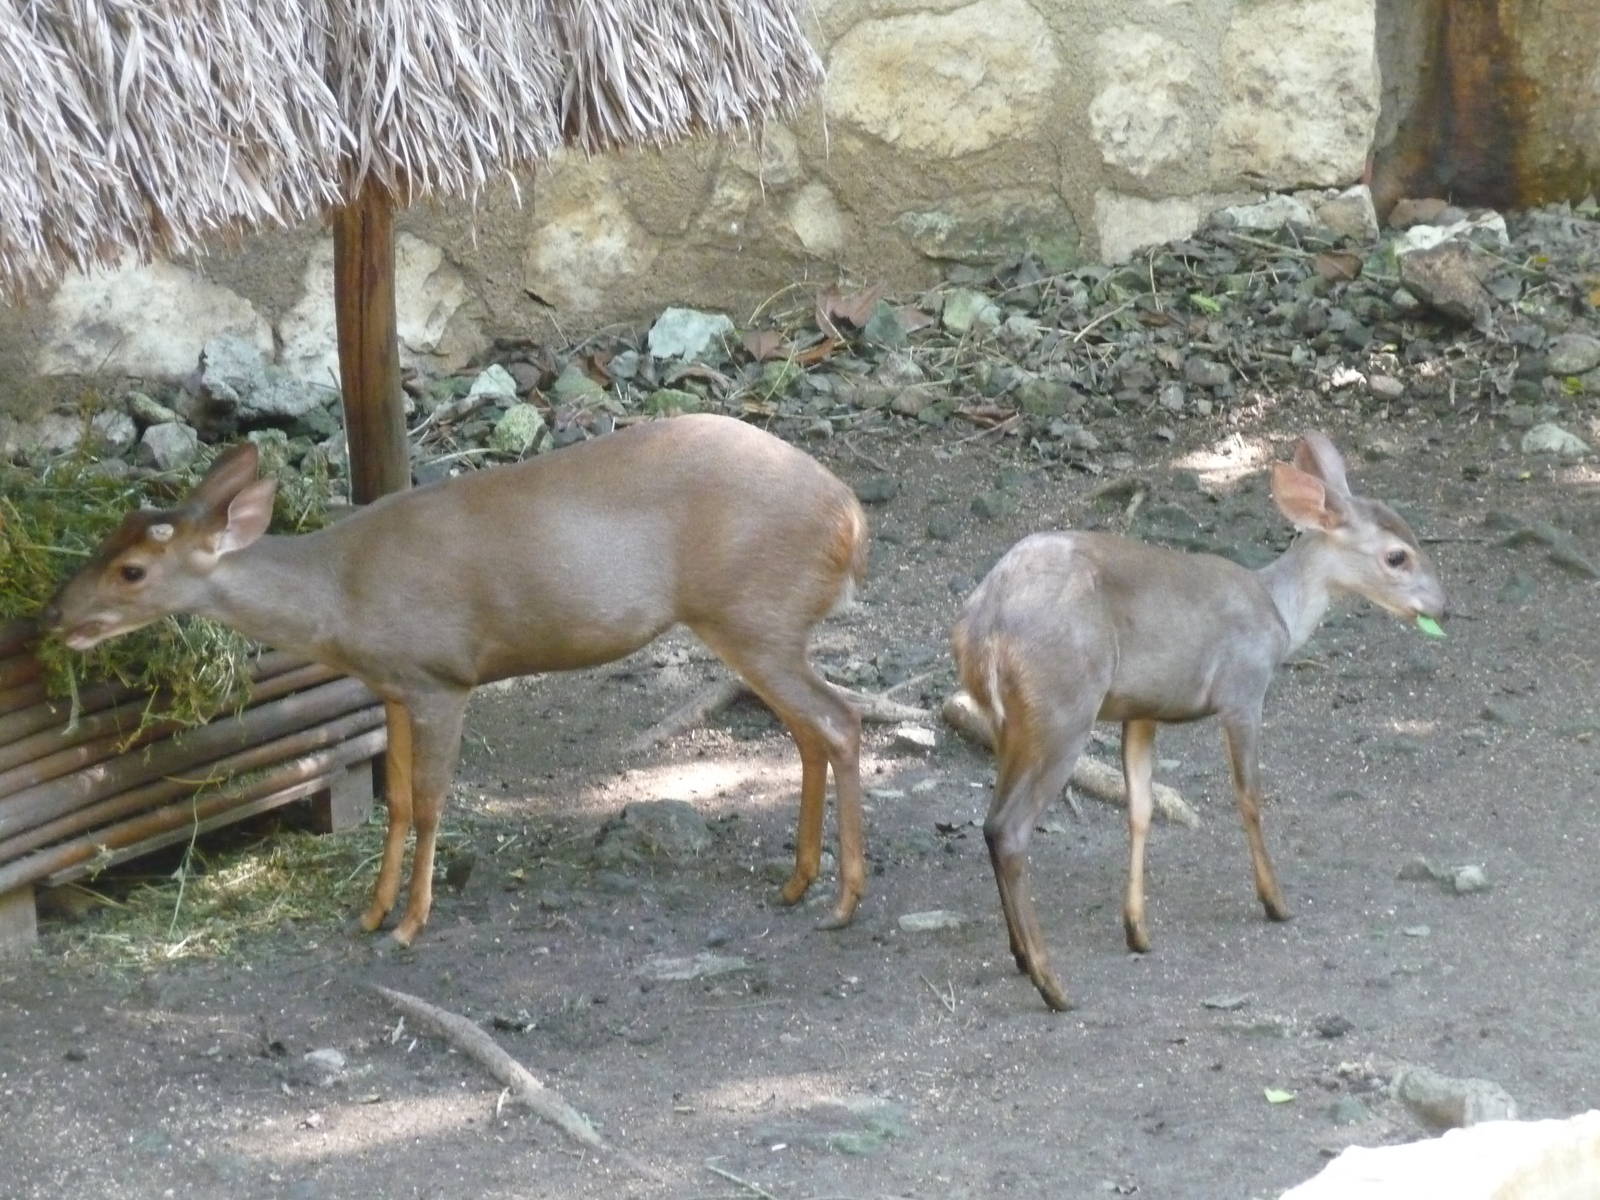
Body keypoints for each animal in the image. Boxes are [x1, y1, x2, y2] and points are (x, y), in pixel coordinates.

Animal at [44, 413, 870, 947]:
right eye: (106, 538)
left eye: (132, 569)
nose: (54, 615)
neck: (342, 594)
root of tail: (851, 518)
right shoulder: (395, 685)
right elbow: (401, 803)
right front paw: (371, 913)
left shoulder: (441, 675)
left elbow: (435, 802)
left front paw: (412, 922)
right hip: (756, 625)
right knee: (811, 730)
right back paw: (797, 882)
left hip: (754, 612)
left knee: (839, 721)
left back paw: (842, 900)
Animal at [951, 433, 1446, 1011]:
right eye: (1397, 556)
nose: (1443, 605)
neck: (1278, 614)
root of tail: (983, 627)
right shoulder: (1243, 687)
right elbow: (1249, 796)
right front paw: (1276, 901)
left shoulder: (1142, 710)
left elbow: (1140, 810)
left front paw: (1138, 931)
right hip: (1064, 704)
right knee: (1009, 828)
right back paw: (1052, 984)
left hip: (1012, 720)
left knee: (991, 822)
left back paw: (1020, 955)